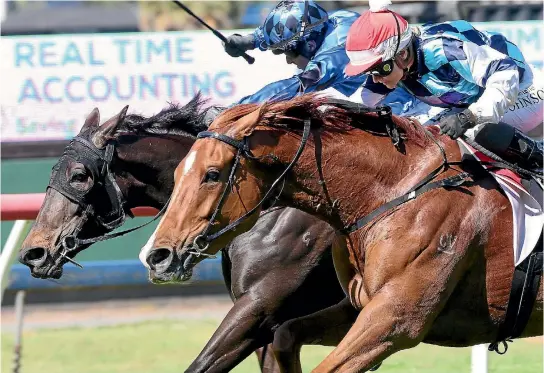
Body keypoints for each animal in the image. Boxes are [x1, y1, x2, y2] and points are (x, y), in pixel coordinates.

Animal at [144, 93, 544, 372]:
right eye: (177, 175)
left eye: (211, 174)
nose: (157, 256)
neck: (394, 193)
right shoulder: (355, 308)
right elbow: (286, 336)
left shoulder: (396, 320)